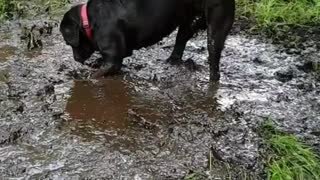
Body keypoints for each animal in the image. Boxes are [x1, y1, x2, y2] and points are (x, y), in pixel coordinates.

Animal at [60, 0, 235, 81]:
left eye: (70, 43)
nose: (75, 58)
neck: (89, 20)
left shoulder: (112, 60)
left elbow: (97, 74)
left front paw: (83, 78)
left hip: (216, 25)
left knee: (213, 55)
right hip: (187, 19)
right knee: (180, 40)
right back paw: (172, 61)